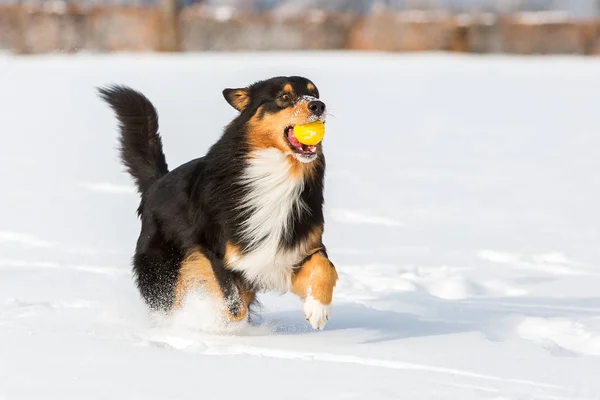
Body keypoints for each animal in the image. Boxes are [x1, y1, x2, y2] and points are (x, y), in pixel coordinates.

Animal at [98, 76, 338, 330]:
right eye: (284, 97)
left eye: (315, 93)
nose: (318, 105)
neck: (277, 172)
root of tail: (157, 182)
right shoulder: (216, 253)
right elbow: (234, 307)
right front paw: (218, 326)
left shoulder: (293, 248)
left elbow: (326, 267)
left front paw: (318, 309)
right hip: (163, 270)